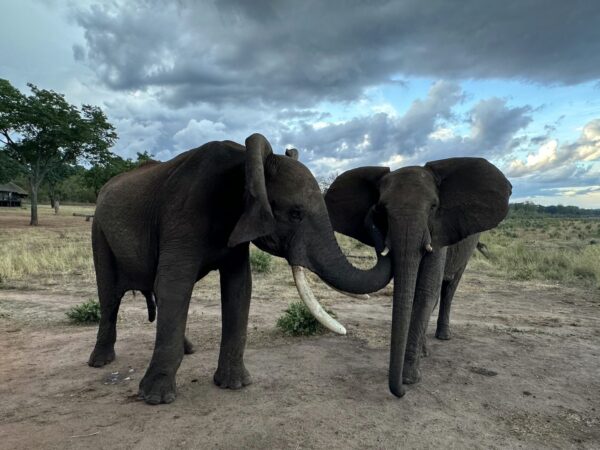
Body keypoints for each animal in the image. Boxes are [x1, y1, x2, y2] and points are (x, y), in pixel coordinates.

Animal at [86, 133, 392, 404]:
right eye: (295, 214)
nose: (377, 211)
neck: (244, 163)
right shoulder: (182, 215)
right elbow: (175, 286)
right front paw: (155, 399)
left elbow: (239, 287)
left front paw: (234, 385)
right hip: (99, 230)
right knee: (110, 296)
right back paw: (100, 362)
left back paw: (189, 350)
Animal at [324, 158, 510, 398]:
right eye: (382, 209)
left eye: (433, 207)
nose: (401, 391)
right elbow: (410, 293)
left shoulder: (439, 231)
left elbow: (424, 293)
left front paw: (409, 379)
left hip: (467, 249)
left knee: (449, 289)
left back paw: (443, 336)